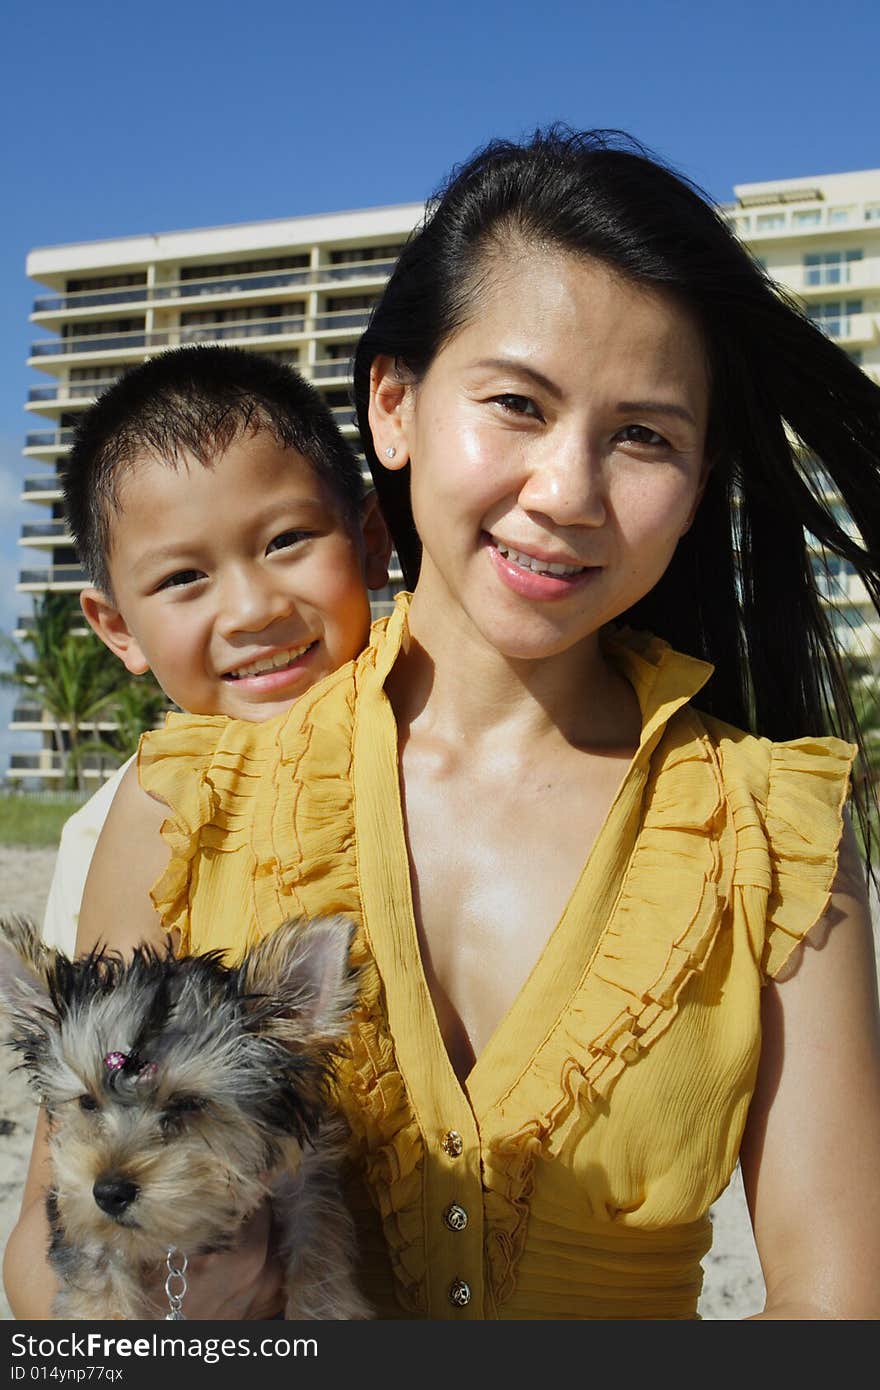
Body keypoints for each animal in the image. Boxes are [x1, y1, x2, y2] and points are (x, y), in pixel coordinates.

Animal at [0, 917, 369, 1317]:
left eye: (188, 1104)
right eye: (88, 1102)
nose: (110, 1193)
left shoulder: (305, 1178)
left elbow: (318, 1243)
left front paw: (321, 1305)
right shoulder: (79, 1223)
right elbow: (100, 1285)